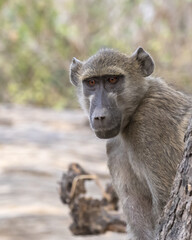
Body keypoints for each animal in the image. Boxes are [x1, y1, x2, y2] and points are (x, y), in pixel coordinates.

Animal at [69, 47, 192, 240]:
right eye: (91, 82)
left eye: (112, 80)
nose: (99, 116)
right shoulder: (114, 147)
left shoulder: (151, 124)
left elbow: (165, 200)